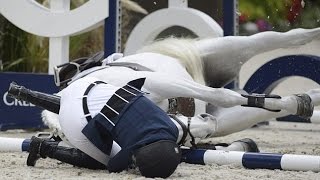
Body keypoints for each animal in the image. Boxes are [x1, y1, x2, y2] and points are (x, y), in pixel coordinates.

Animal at [43, 27, 320, 146]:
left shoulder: (159, 81)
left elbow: (224, 94)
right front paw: (296, 102)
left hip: (230, 49)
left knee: (281, 37)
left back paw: (311, 33)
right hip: (229, 117)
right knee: (252, 110)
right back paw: (307, 98)